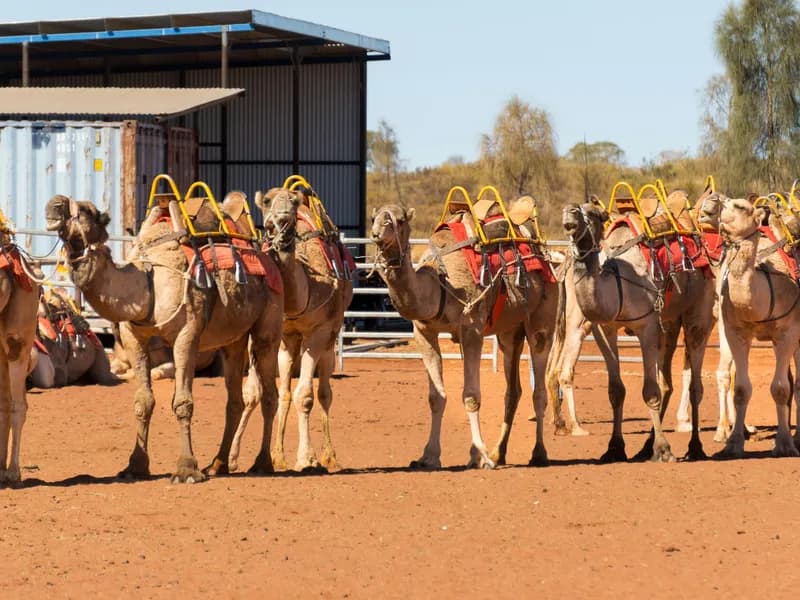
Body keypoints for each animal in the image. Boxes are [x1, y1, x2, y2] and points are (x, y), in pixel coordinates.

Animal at [45, 193, 284, 482]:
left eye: (84, 211)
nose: (54, 205)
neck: (148, 282)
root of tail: (266, 254)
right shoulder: (134, 337)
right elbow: (143, 401)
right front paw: (135, 466)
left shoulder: (186, 335)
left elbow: (182, 402)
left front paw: (186, 469)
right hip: (233, 340)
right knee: (234, 399)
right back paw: (218, 464)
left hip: (268, 326)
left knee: (270, 394)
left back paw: (262, 463)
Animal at [228, 185, 353, 472]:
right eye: (266, 202)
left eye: (294, 205)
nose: (282, 219)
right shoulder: (266, 335)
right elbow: (253, 394)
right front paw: (233, 457)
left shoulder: (317, 334)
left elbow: (305, 396)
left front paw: (306, 457)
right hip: (287, 344)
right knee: (284, 392)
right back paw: (277, 455)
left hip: (329, 339)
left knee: (324, 393)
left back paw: (328, 456)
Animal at [370, 199, 558, 469]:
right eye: (374, 217)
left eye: (400, 219)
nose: (376, 233)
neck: (440, 282)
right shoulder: (424, 332)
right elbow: (436, 397)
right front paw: (429, 456)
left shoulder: (472, 329)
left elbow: (471, 396)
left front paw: (480, 456)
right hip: (509, 331)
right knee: (512, 391)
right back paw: (499, 453)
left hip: (542, 320)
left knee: (539, 388)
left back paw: (538, 454)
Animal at [562, 198, 716, 462]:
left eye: (592, 213)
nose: (569, 212)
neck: (617, 283)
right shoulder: (605, 329)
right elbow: (616, 391)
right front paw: (614, 448)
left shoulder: (647, 327)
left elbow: (650, 391)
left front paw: (664, 449)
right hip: (669, 324)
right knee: (668, 382)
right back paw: (646, 447)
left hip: (699, 312)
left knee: (695, 384)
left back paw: (695, 447)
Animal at [712, 195, 800, 457]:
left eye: (740, 206)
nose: (712, 201)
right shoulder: (736, 331)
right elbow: (741, 388)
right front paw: (733, 443)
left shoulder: (788, 333)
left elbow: (780, 389)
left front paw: (784, 444)